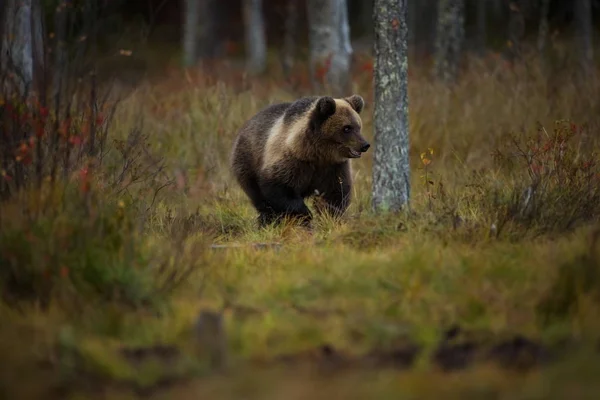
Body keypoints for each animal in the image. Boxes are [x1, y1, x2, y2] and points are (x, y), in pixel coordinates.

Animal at [230, 92, 370, 227]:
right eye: (347, 128)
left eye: (358, 126)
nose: (365, 145)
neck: (317, 153)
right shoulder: (292, 161)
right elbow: (280, 187)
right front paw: (306, 214)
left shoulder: (334, 166)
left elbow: (335, 192)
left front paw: (329, 217)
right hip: (248, 161)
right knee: (260, 198)